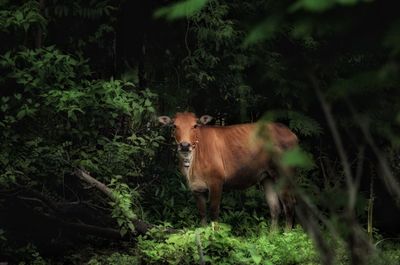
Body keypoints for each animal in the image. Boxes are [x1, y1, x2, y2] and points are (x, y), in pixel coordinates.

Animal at [158, 111, 298, 229]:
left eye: (195, 125)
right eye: (174, 126)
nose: (185, 145)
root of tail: (292, 134)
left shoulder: (216, 181)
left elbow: (214, 212)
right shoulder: (196, 188)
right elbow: (202, 214)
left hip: (284, 174)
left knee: (289, 205)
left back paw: (287, 234)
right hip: (266, 176)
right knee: (275, 208)